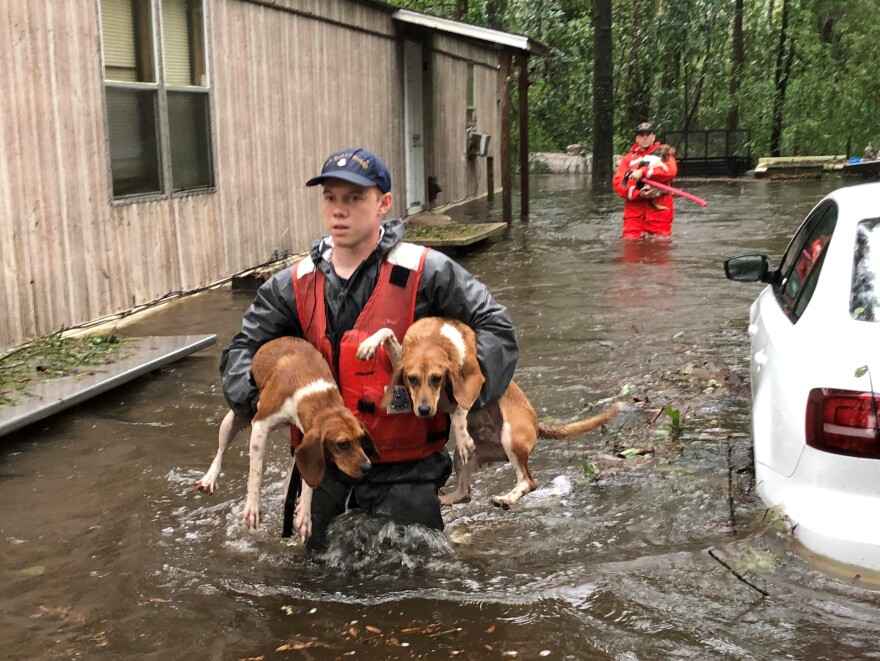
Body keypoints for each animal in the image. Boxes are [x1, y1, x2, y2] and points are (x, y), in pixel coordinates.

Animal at [194, 338, 376, 540]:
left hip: (289, 434)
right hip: (232, 420)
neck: (316, 395)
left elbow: (308, 479)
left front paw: (305, 514)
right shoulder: (260, 424)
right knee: (220, 452)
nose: (368, 468)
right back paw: (209, 478)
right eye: (342, 444)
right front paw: (253, 507)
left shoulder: (306, 439)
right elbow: (256, 472)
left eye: (361, 438)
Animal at [354, 318, 624, 508]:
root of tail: (537, 424)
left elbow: (460, 410)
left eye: (437, 379)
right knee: (465, 494)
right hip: (463, 459)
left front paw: (462, 433)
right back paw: (445, 499)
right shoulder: (402, 358)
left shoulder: (475, 383)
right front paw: (369, 345)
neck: (433, 340)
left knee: (528, 481)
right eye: (412, 379)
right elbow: (387, 332)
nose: (424, 410)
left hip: (511, 439)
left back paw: (506, 498)